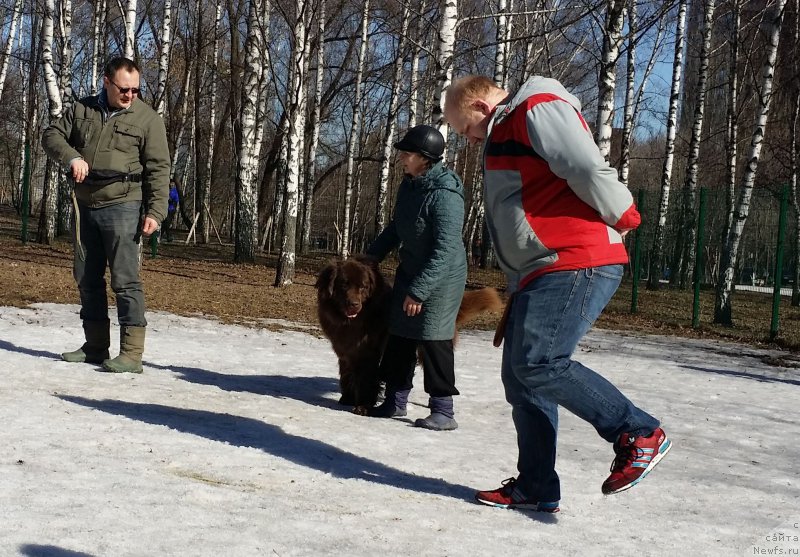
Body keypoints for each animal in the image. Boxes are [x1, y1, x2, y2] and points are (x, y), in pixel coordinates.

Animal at [318, 255, 500, 412]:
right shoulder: (345, 351)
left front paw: (363, 405)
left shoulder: (368, 353)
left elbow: (366, 379)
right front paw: (347, 399)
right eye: (344, 285)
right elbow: (346, 374)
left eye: (363, 287)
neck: (351, 323)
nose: (354, 304)